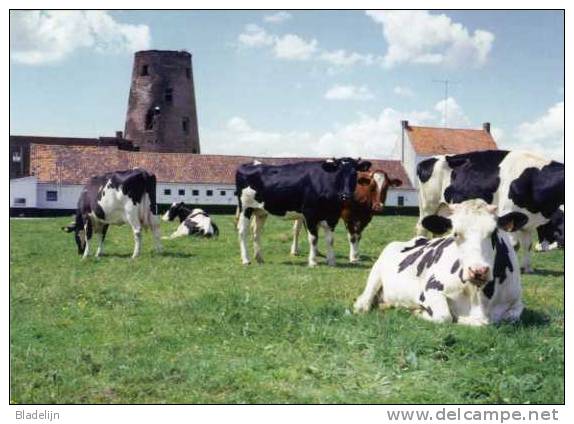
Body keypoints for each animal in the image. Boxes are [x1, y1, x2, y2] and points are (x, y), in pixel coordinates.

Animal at [236, 157, 372, 266]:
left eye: (354, 174)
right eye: (338, 174)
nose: (345, 196)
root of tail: (250, 164)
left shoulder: (332, 217)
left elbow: (330, 239)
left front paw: (331, 261)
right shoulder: (310, 214)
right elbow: (313, 238)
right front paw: (312, 261)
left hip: (260, 211)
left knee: (256, 232)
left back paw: (259, 258)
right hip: (245, 208)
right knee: (243, 232)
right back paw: (246, 259)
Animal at [356, 200, 532, 326]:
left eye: (494, 232)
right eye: (455, 234)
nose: (478, 270)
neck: (479, 297)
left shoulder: (517, 302)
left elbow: (511, 317)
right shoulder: (431, 288)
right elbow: (445, 317)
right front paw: (419, 312)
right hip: (378, 268)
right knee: (366, 297)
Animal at [418, 151, 568, 274]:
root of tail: (427, 160)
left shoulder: (528, 222)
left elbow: (527, 245)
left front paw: (527, 268)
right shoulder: (508, 212)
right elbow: (514, 245)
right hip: (428, 205)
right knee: (422, 228)